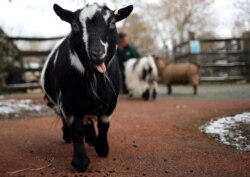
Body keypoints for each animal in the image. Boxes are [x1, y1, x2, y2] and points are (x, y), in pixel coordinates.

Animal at [40, 2, 133, 171]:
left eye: (113, 23)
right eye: (75, 26)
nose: (97, 53)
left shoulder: (110, 102)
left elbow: (104, 124)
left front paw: (102, 148)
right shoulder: (68, 103)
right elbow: (76, 129)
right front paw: (80, 162)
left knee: (88, 120)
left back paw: (92, 139)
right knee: (69, 120)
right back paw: (68, 137)